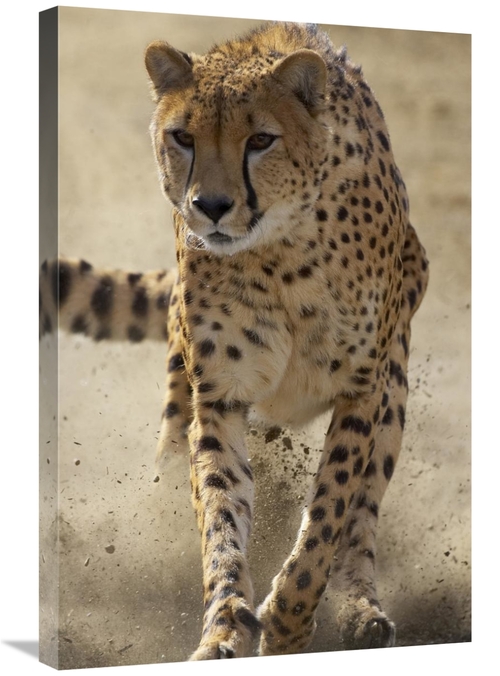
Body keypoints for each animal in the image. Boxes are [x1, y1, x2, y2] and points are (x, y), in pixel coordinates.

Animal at [39, 22, 429, 660]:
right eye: (183, 137)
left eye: (261, 140)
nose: (213, 207)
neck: (282, 252)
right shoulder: (218, 399)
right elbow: (220, 514)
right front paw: (223, 628)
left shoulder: (362, 390)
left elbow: (330, 512)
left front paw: (290, 622)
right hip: (182, 391)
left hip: (393, 389)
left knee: (364, 515)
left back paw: (362, 609)